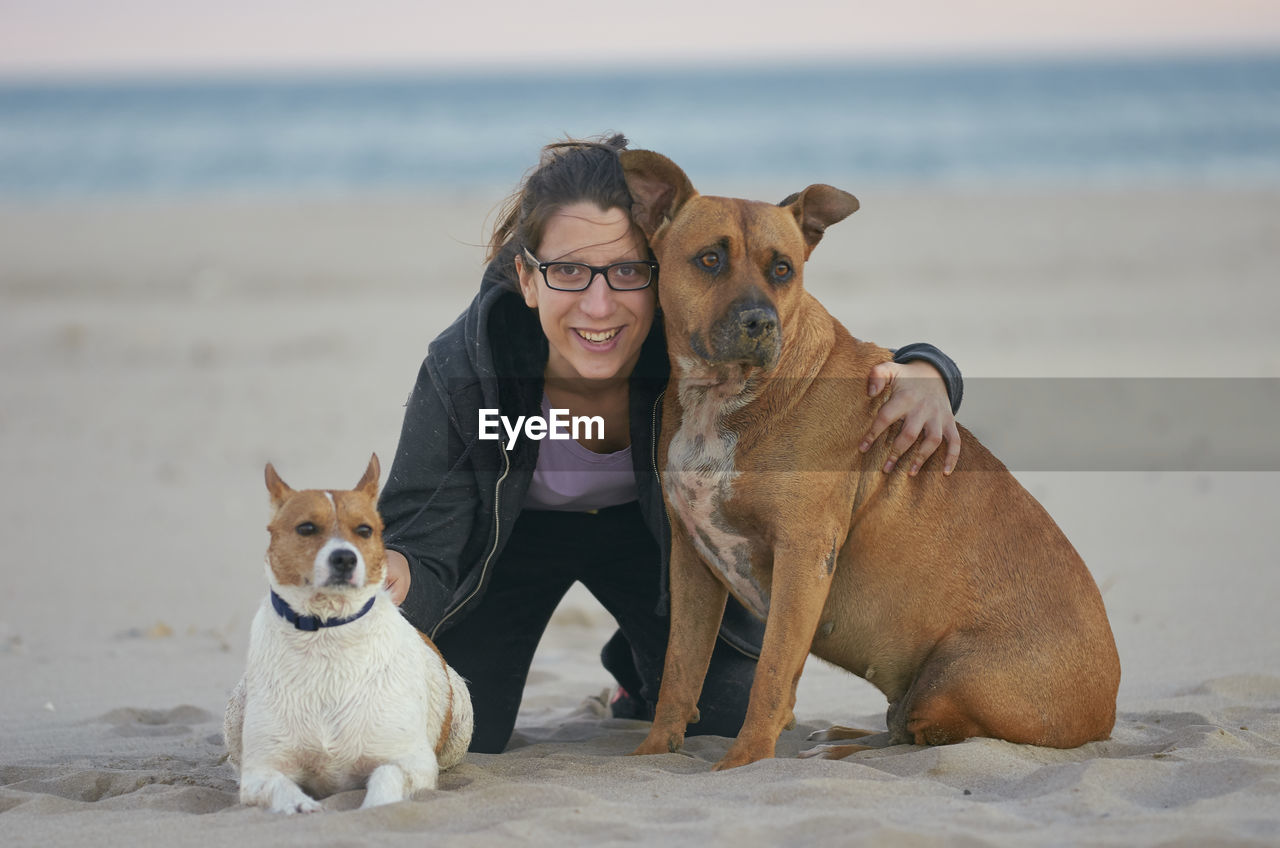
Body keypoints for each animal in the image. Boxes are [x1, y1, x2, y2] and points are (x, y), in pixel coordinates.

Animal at [226, 456, 476, 814]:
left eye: (364, 530)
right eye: (306, 528)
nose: (344, 558)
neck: (327, 631)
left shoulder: (411, 762)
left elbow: (386, 777)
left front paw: (377, 805)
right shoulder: (262, 771)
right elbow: (279, 786)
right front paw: (299, 805)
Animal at [622, 149, 1121, 773]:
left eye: (782, 269)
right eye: (709, 259)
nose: (760, 321)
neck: (725, 397)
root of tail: (1107, 712)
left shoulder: (803, 556)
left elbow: (771, 676)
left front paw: (745, 762)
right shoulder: (693, 562)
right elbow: (679, 671)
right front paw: (651, 754)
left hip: (955, 676)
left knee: (926, 735)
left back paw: (840, 749)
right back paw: (838, 739)